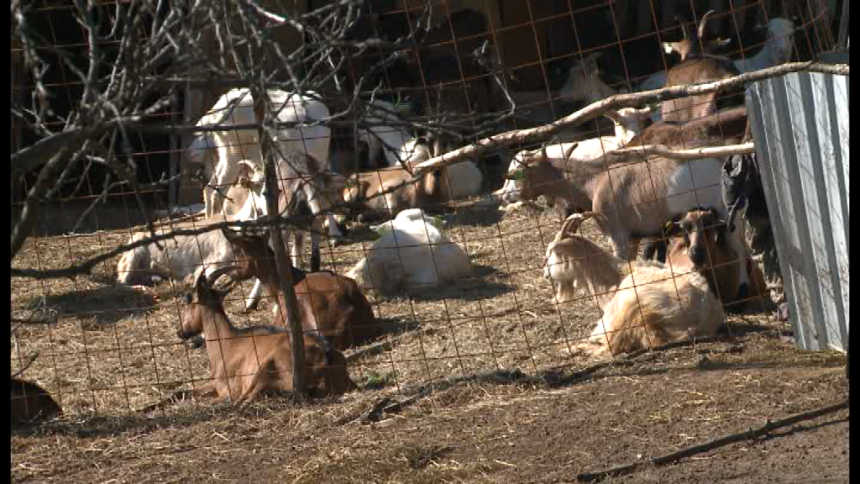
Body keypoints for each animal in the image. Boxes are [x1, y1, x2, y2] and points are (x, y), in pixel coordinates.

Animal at [544, 214, 724, 358]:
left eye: (550, 254)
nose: (545, 274)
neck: (614, 277)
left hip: (633, 304)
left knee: (613, 345)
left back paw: (573, 349)